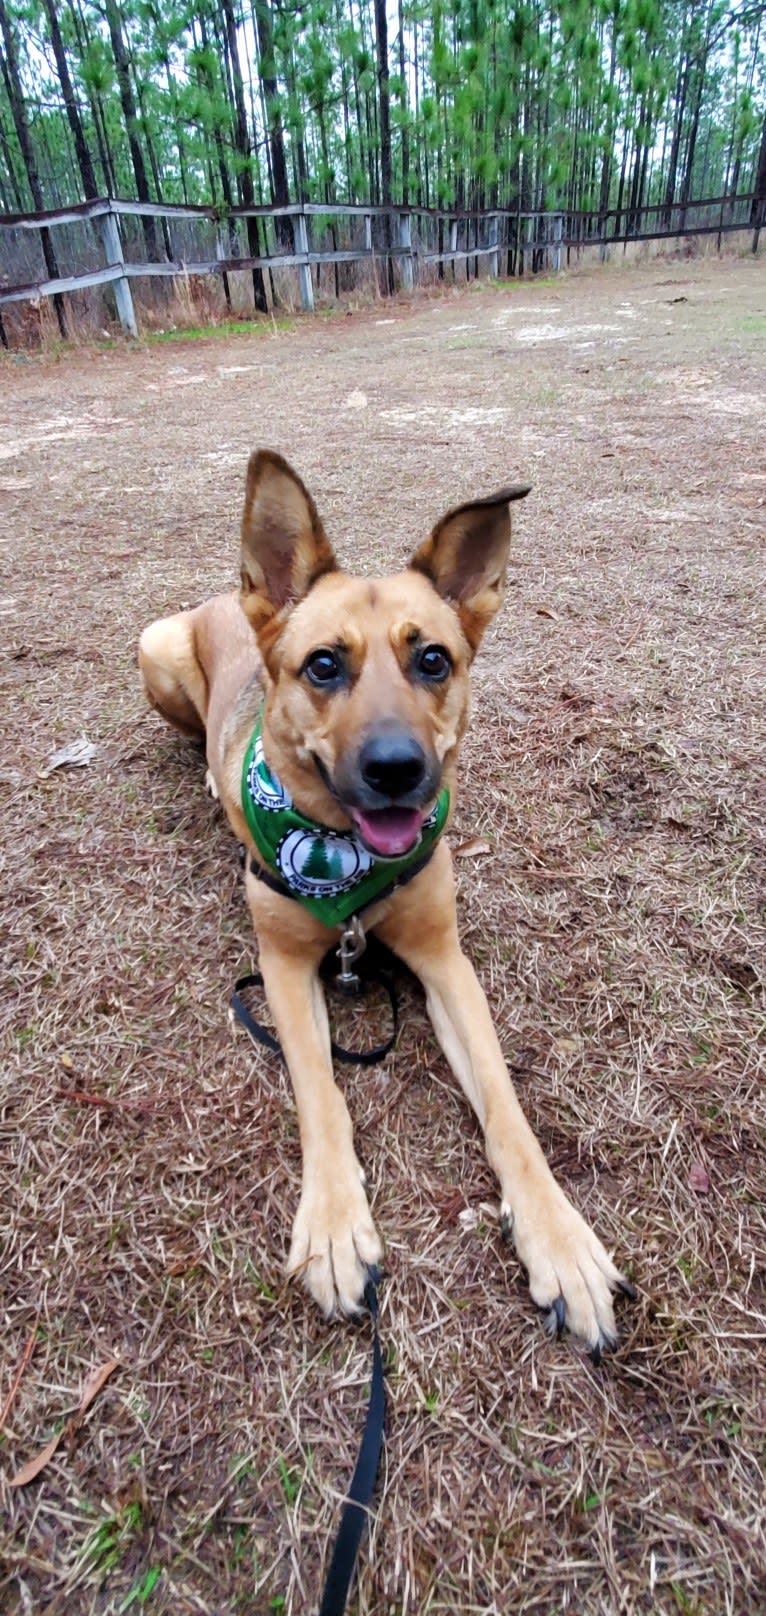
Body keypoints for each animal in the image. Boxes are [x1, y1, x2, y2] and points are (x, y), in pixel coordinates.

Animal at [140, 449, 630, 1357]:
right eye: (324, 665)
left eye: (432, 660)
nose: (398, 769)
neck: (348, 864)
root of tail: (234, 592)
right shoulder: (282, 968)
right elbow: (322, 1094)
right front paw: (336, 1228)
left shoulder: (445, 961)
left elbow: (507, 1109)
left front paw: (560, 1243)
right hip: (154, 649)